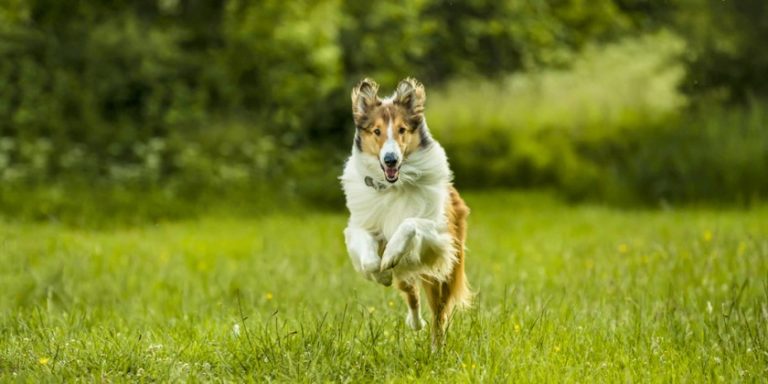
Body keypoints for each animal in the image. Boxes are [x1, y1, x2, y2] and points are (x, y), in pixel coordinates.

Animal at [340, 77, 472, 348]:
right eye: (376, 131)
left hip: (442, 272)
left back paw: (436, 349)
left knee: (439, 316)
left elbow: (409, 223)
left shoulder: (438, 233)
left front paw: (391, 253)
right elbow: (371, 261)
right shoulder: (361, 226)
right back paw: (414, 321)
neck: (394, 185)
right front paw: (381, 273)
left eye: (402, 130)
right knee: (410, 290)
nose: (390, 160)